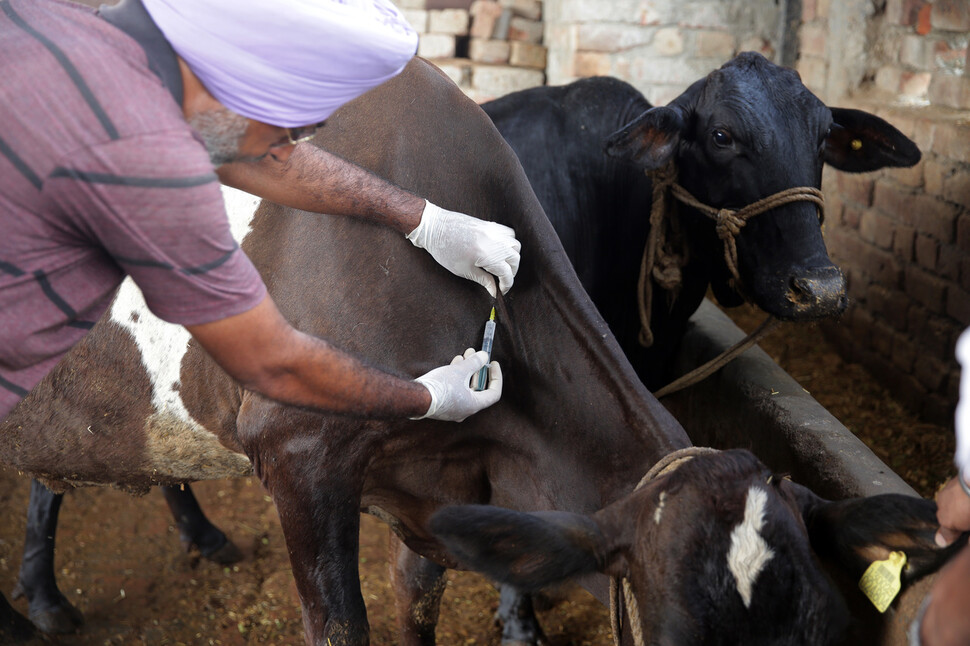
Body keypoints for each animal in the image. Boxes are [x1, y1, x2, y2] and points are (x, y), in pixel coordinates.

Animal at [0, 60, 952, 646]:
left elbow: (418, 601)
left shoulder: (428, 479)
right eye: (719, 138)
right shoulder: (302, 450)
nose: (821, 286)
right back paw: (39, 602)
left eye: (822, 630)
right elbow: (342, 625)